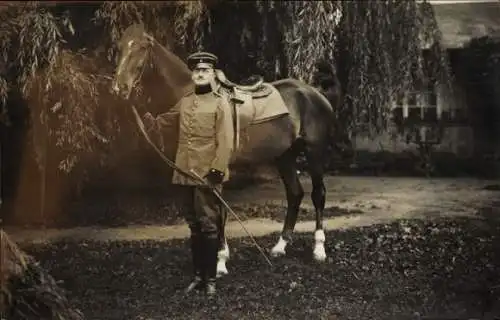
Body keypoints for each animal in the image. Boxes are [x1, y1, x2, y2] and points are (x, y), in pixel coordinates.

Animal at [111, 24, 342, 276]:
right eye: (120, 47)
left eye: (141, 48)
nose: (119, 88)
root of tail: (315, 92)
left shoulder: (217, 172)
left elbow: (218, 212)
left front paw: (220, 262)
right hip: (285, 156)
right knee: (295, 194)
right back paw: (280, 247)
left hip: (314, 152)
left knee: (318, 195)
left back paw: (319, 250)